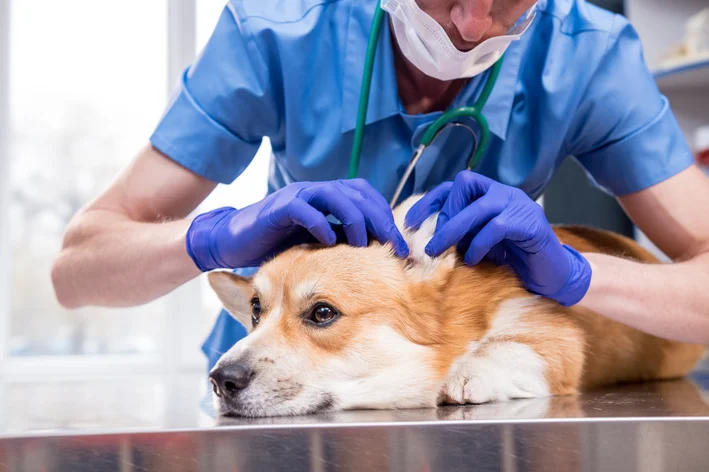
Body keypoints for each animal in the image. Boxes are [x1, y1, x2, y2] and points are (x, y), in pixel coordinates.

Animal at [205, 195, 704, 416]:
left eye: (323, 313)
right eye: (256, 310)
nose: (220, 380)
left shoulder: (553, 337)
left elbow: (511, 347)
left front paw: (467, 372)